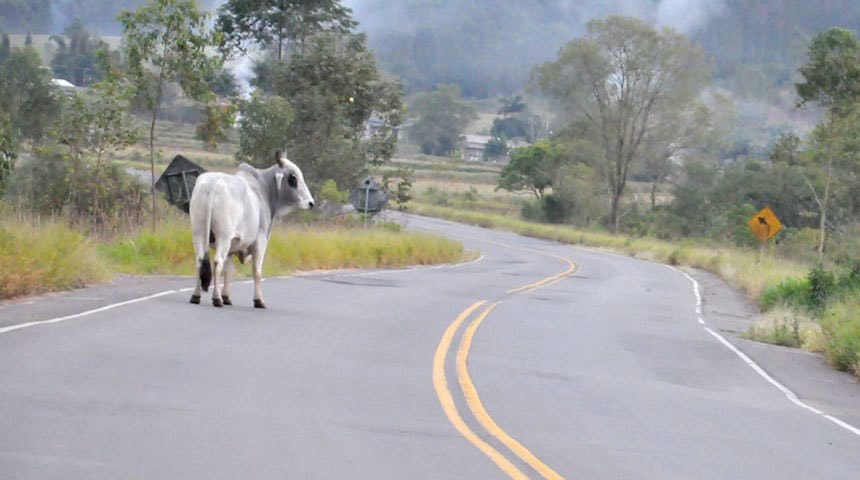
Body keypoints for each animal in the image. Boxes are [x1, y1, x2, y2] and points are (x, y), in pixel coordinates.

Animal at [188, 156, 316, 310]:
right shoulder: (260, 242)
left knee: (200, 261)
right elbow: (257, 272)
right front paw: (258, 300)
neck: (263, 189)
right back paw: (217, 298)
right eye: (293, 177)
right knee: (218, 263)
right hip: (223, 237)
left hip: (199, 233)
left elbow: (229, 271)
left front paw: (227, 297)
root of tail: (214, 182)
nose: (311, 203)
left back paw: (196, 296)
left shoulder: (232, 246)